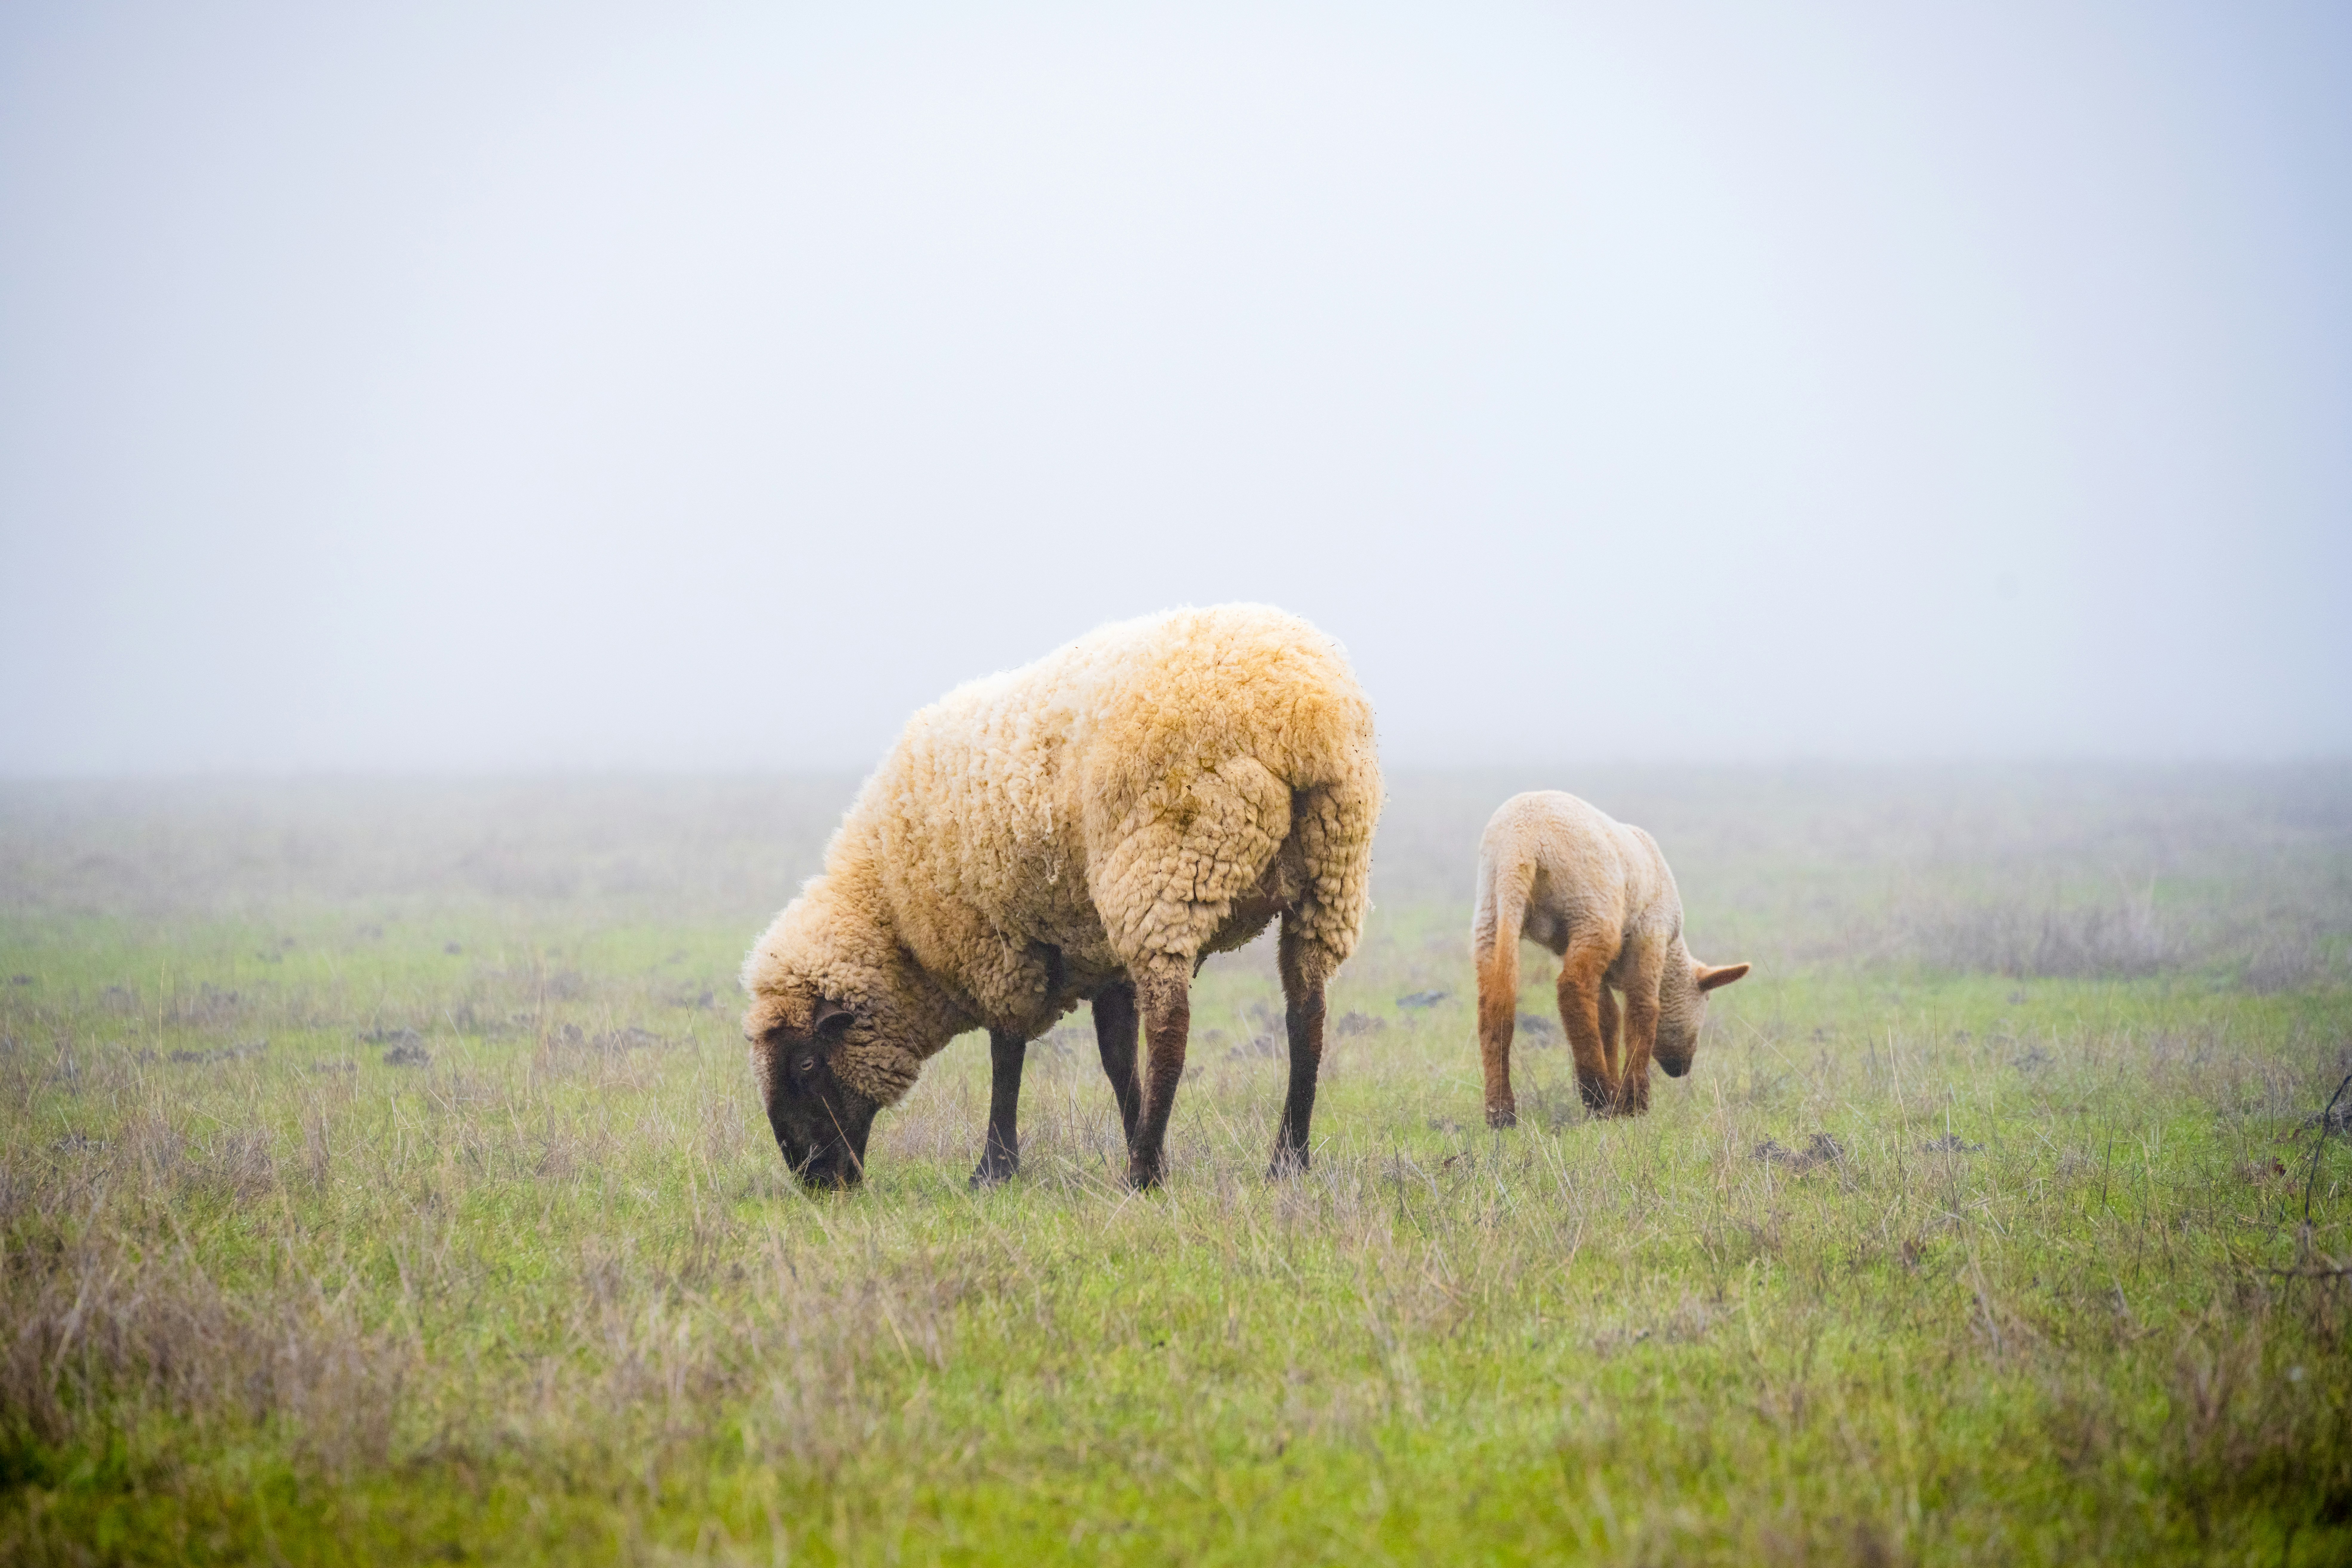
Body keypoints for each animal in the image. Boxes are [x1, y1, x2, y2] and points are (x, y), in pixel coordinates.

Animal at [742, 604, 1381, 1190]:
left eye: (805, 1062)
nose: (813, 1179)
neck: (895, 920)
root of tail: (1303, 716)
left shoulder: (996, 944)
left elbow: (1007, 1053)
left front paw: (995, 1169)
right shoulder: (1099, 950)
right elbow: (1116, 1056)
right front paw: (1145, 1147)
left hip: (1162, 869)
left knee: (1172, 1027)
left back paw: (1141, 1176)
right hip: (1330, 871)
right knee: (1307, 1015)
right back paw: (1286, 1162)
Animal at [1471, 791, 1748, 1125]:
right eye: (1706, 1003)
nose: (1681, 1068)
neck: (1672, 955)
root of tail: (1520, 840)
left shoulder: (1572, 949)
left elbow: (1608, 1017)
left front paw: (1621, 1093)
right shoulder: (1651, 932)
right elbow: (1643, 1010)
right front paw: (1634, 1103)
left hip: (1494, 908)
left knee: (1496, 999)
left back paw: (1501, 1112)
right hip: (1593, 911)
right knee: (1572, 988)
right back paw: (1597, 1094)